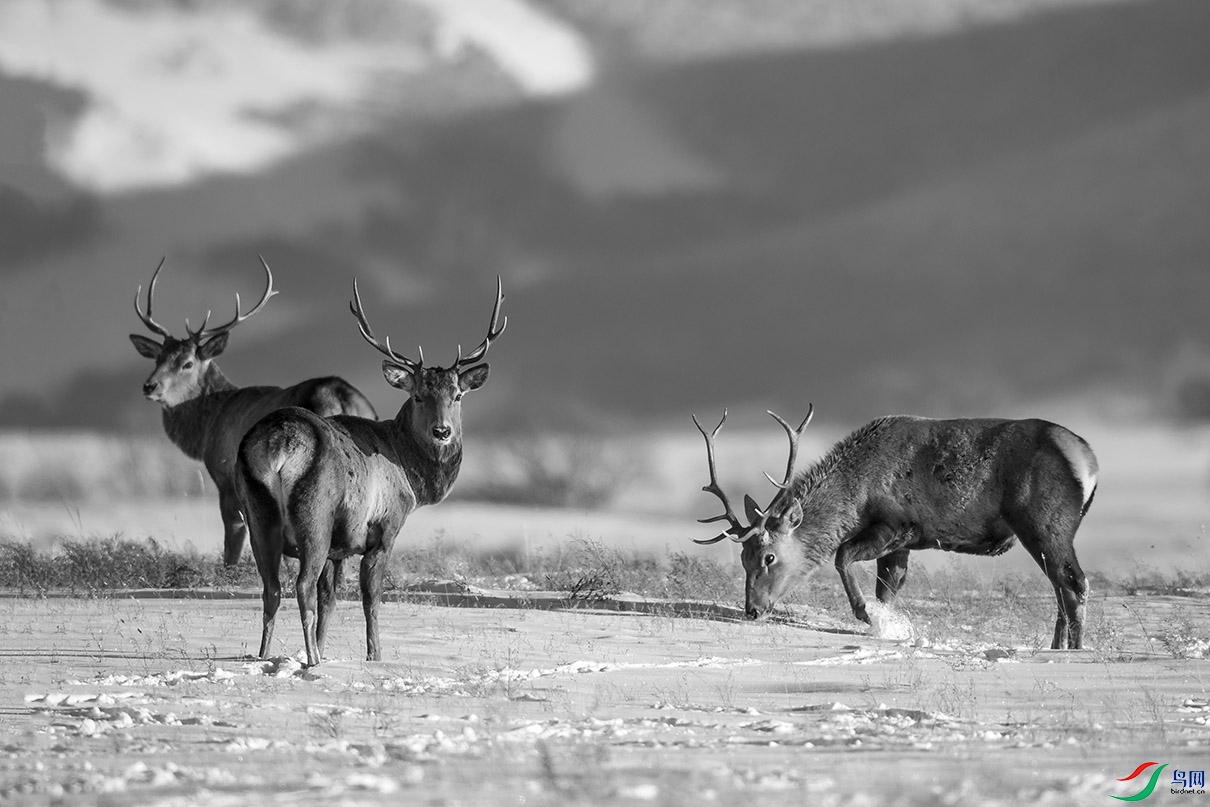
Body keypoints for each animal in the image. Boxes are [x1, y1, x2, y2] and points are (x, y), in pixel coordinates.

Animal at [129, 255, 375, 566]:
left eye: (187, 363)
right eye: (158, 358)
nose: (149, 386)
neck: (208, 426)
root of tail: (340, 396)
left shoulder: (224, 473)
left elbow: (233, 537)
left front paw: (231, 567)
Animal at [235, 274, 505, 667]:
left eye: (457, 395)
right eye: (418, 395)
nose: (442, 431)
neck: (410, 475)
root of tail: (278, 444)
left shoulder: (339, 549)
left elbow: (330, 600)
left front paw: (328, 647)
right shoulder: (384, 528)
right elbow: (370, 598)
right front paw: (374, 656)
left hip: (256, 512)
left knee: (271, 589)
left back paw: (263, 657)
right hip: (314, 514)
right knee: (300, 586)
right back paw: (312, 661)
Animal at [692, 411, 1098, 648]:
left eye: (769, 557)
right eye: (743, 559)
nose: (752, 610)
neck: (855, 499)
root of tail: (1088, 459)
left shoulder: (898, 524)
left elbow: (842, 555)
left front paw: (865, 614)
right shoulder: (902, 545)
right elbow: (887, 590)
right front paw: (891, 626)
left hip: (1044, 521)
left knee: (1074, 583)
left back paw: (1074, 652)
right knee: (1061, 589)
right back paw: (1057, 647)